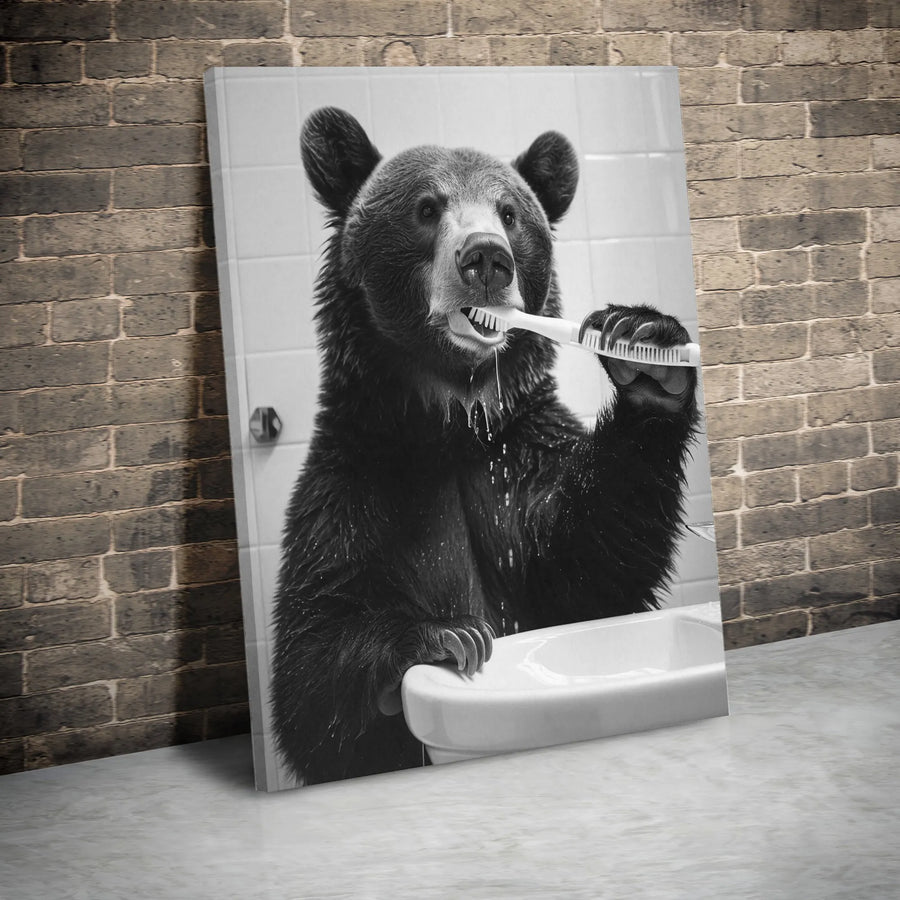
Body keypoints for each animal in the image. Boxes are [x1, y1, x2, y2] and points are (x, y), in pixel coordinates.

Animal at [272, 107, 699, 786]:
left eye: (510, 212)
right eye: (426, 207)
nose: (487, 259)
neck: (451, 423)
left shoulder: (518, 465)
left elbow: (591, 564)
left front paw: (646, 349)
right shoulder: (356, 485)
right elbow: (312, 668)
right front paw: (446, 636)